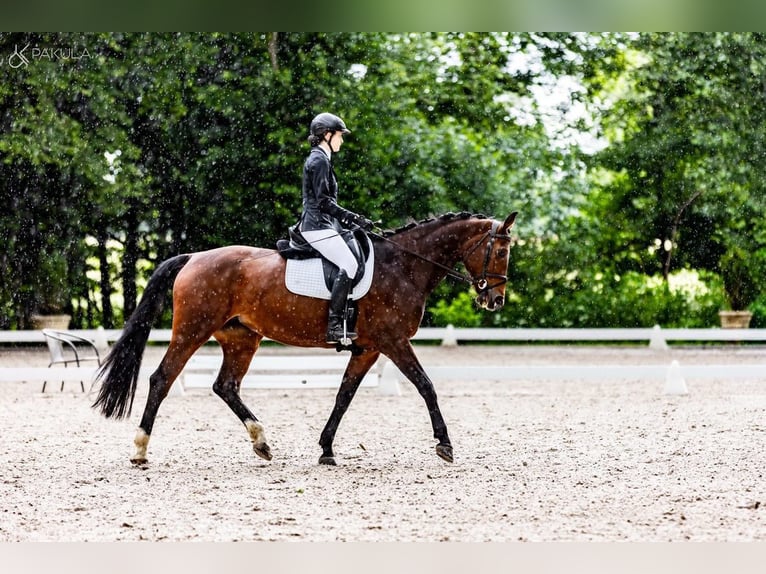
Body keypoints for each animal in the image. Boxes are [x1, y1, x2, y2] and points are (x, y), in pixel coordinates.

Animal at [92, 211, 518, 466]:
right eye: (500, 251)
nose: (495, 300)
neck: (404, 265)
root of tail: (193, 257)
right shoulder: (393, 341)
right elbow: (426, 386)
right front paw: (444, 444)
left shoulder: (367, 348)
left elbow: (344, 395)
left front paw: (326, 449)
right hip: (192, 330)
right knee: (162, 379)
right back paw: (140, 449)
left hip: (241, 338)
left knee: (225, 385)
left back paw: (261, 442)